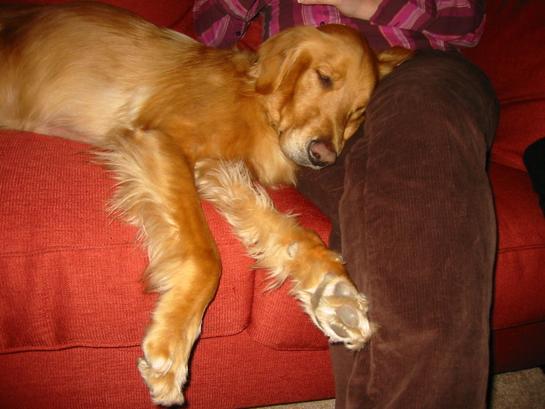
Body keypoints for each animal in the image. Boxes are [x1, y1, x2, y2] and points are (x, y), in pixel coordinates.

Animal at [0, 2, 411, 405]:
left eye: (358, 111)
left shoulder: (218, 171)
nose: (323, 156)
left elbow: (291, 231)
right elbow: (206, 257)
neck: (257, 101)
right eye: (324, 78)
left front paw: (334, 290)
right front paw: (173, 343)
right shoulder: (162, 139)